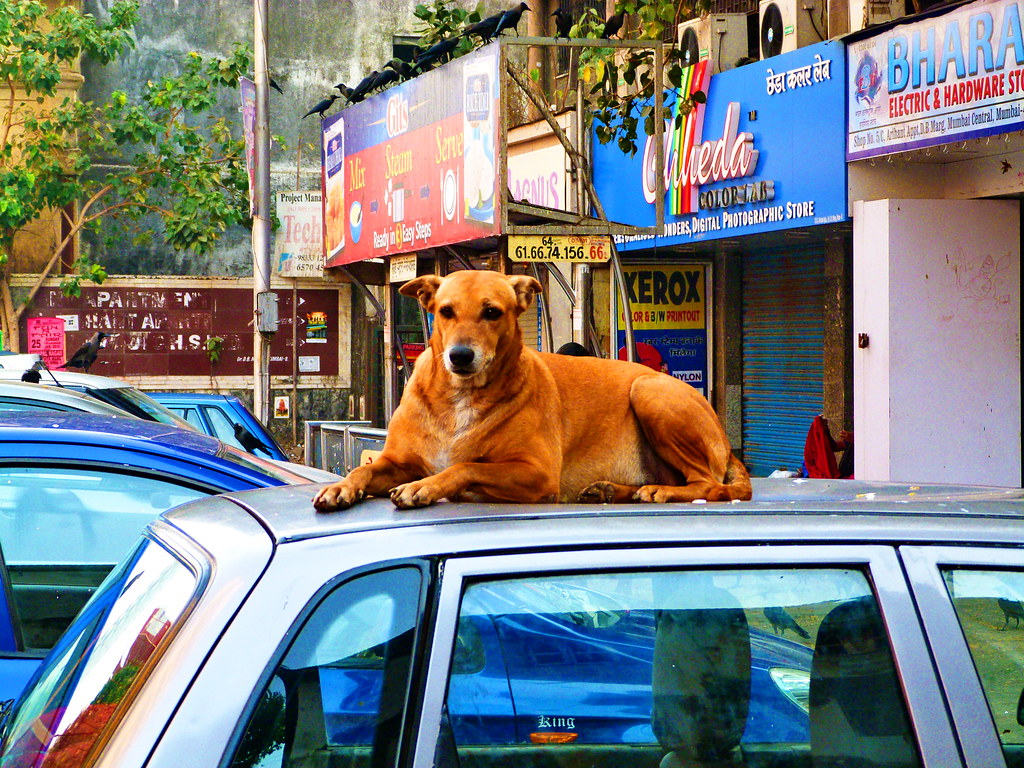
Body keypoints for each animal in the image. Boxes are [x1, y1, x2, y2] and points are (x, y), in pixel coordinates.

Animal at [311, 270, 753, 512]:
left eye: (492, 312)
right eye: (445, 311)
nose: (460, 356)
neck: (461, 397)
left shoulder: (537, 473)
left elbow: (467, 466)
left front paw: (425, 486)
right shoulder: (397, 459)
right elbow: (364, 467)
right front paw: (340, 486)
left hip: (650, 391)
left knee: (707, 483)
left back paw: (660, 491)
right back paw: (614, 489)